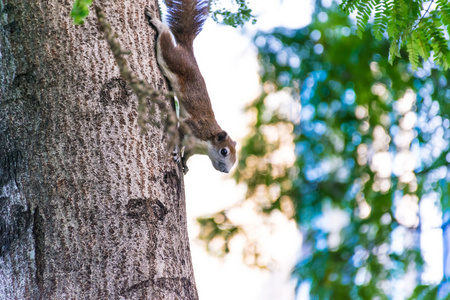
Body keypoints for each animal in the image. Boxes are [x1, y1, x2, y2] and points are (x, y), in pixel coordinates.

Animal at [147, 0, 239, 173]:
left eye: (235, 157)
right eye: (224, 151)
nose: (226, 171)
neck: (206, 141)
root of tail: (188, 51)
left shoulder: (193, 147)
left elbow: (188, 154)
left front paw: (185, 164)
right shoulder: (191, 128)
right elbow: (178, 136)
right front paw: (177, 152)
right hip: (174, 59)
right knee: (165, 42)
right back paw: (158, 23)